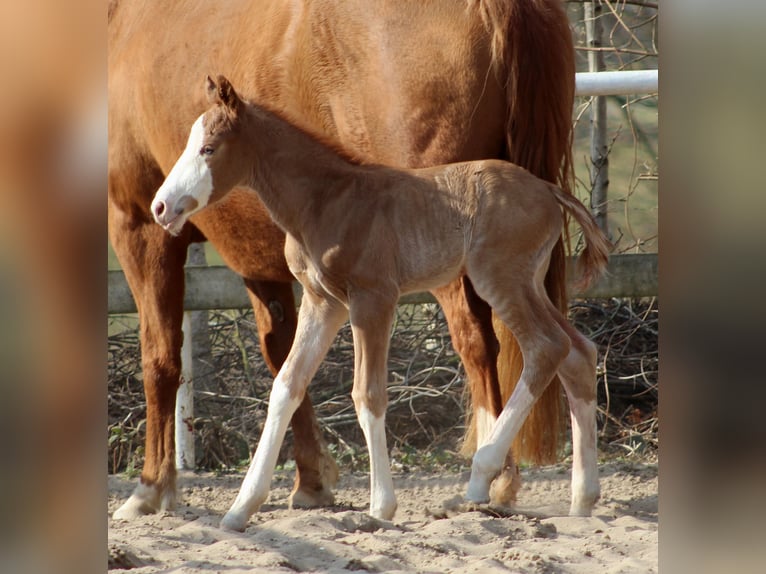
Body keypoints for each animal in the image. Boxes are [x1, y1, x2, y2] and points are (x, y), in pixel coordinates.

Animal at [108, 0, 576, 520]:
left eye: (208, 148)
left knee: (495, 343)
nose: (162, 206)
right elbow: (283, 369)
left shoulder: (136, 227)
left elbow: (163, 357)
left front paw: (149, 489)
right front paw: (282, 491)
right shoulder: (293, 282)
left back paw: (491, 478)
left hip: (474, 272)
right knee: (569, 349)